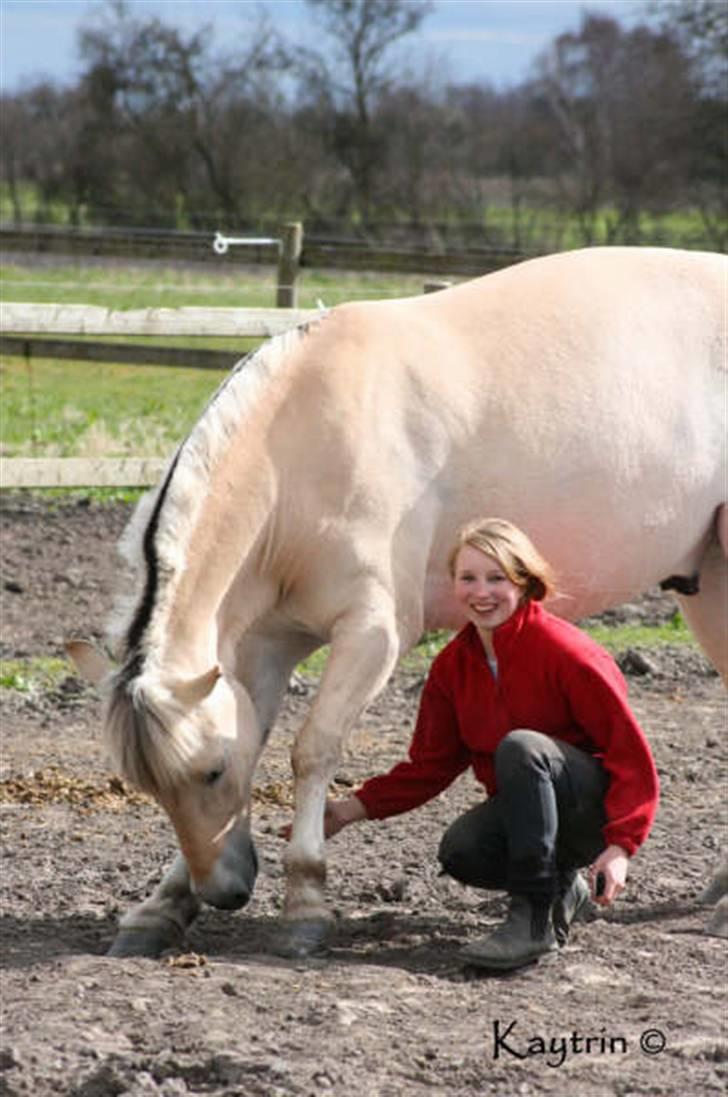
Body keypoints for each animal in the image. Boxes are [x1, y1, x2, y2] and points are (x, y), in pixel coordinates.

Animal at [65, 244, 723, 956]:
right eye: (151, 784)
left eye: (211, 773)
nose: (227, 891)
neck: (301, 452)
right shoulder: (265, 647)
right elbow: (256, 734)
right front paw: (163, 906)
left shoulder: (372, 634)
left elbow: (313, 749)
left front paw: (304, 904)